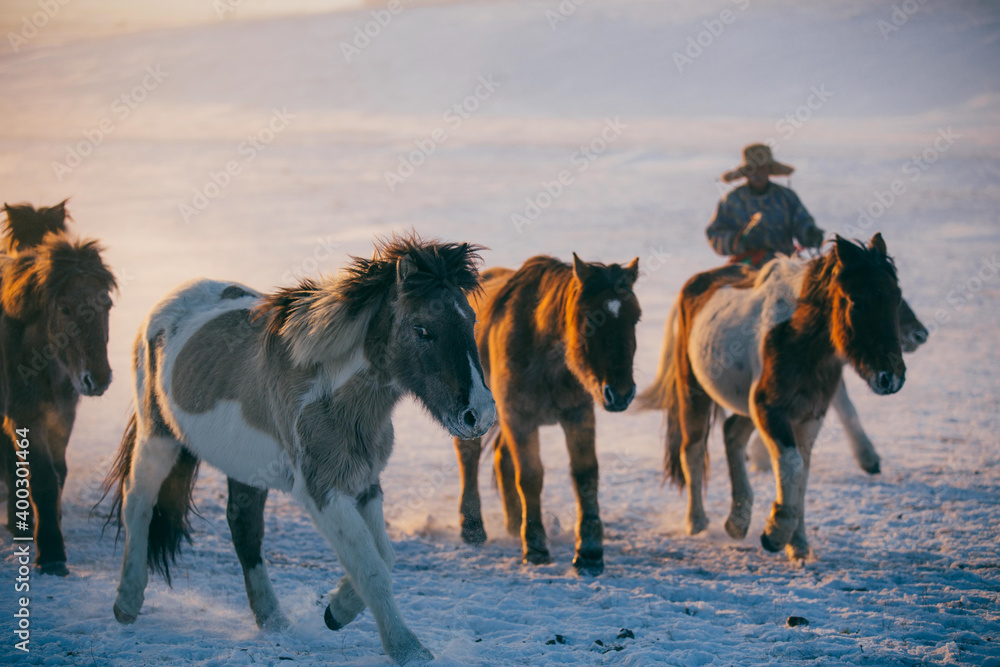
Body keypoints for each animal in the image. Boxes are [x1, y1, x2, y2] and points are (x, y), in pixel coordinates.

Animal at [0, 201, 116, 575]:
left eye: (107, 304)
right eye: (64, 307)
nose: (99, 378)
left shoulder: (62, 415)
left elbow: (59, 472)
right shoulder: (23, 415)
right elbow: (42, 478)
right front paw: (51, 553)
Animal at [100, 236, 494, 665]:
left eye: (471, 321)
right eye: (423, 329)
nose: (480, 415)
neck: (331, 391)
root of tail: (163, 308)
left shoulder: (365, 483)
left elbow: (384, 558)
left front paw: (335, 611)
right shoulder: (322, 491)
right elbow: (372, 568)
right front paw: (407, 648)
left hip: (244, 470)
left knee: (244, 530)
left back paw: (273, 620)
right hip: (158, 437)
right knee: (137, 502)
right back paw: (126, 602)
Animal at [453, 253, 640, 575]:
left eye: (635, 317)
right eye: (591, 318)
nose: (621, 393)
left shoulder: (578, 415)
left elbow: (585, 474)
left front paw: (589, 553)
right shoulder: (520, 418)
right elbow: (530, 476)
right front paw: (536, 547)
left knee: (502, 458)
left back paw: (514, 523)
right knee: (469, 455)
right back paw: (473, 526)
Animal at [638, 235, 905, 560]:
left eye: (896, 298)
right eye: (857, 301)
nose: (891, 377)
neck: (797, 337)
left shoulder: (809, 415)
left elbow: (801, 474)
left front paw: (798, 544)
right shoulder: (769, 409)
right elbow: (791, 464)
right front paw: (776, 533)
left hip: (745, 405)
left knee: (732, 435)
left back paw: (738, 521)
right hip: (695, 393)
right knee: (693, 449)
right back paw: (697, 521)